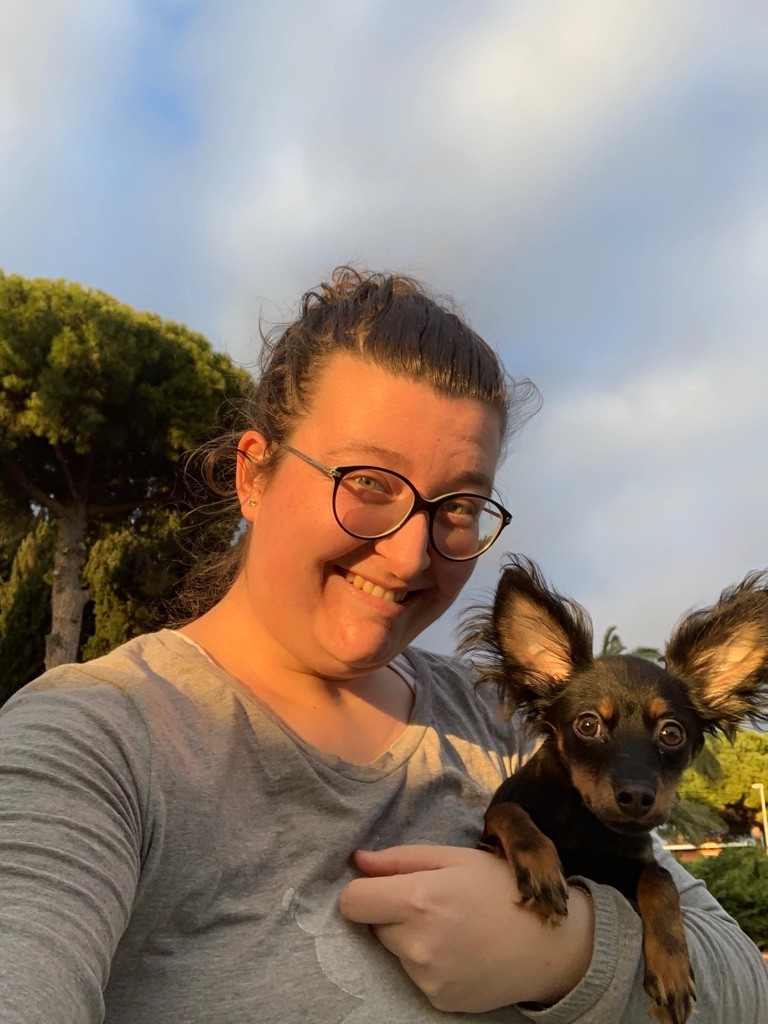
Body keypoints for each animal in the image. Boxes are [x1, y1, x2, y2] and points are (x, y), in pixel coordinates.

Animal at [458, 555, 768, 1024]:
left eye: (672, 733)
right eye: (588, 725)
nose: (637, 797)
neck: (589, 822)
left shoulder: (635, 867)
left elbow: (661, 878)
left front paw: (672, 969)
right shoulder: (490, 837)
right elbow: (509, 812)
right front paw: (541, 866)